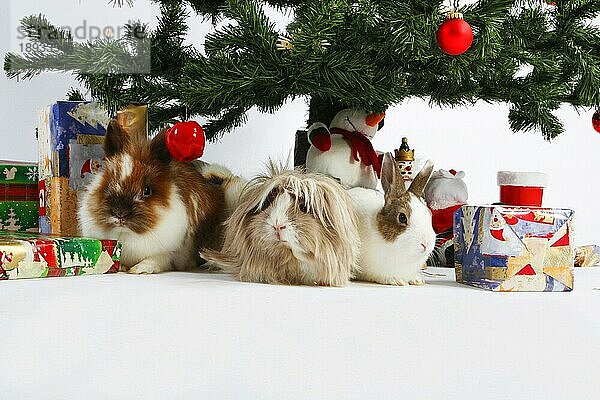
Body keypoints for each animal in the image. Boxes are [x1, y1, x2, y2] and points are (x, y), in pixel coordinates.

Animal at [78, 120, 243, 274]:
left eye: (147, 190)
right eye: (107, 185)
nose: (120, 213)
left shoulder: (168, 254)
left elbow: (155, 260)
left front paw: (139, 269)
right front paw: (122, 267)